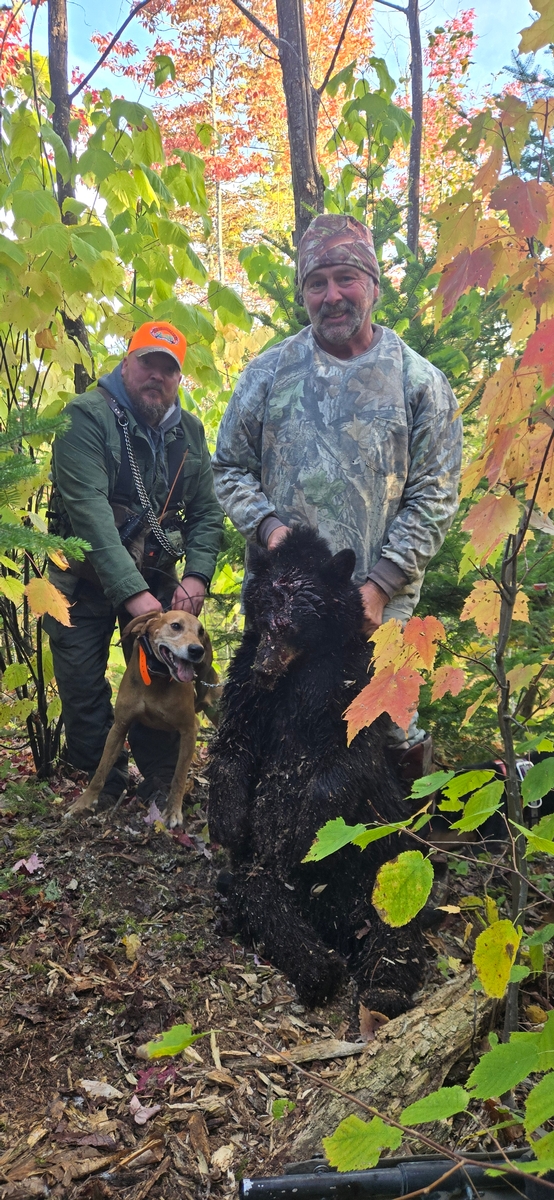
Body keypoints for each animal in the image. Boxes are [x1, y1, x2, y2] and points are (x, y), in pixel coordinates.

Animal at [65, 610, 221, 827]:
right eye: (176, 626)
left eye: (200, 632)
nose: (197, 650)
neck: (157, 678)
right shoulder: (119, 727)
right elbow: (101, 770)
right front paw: (83, 803)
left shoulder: (190, 729)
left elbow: (179, 776)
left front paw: (173, 811)